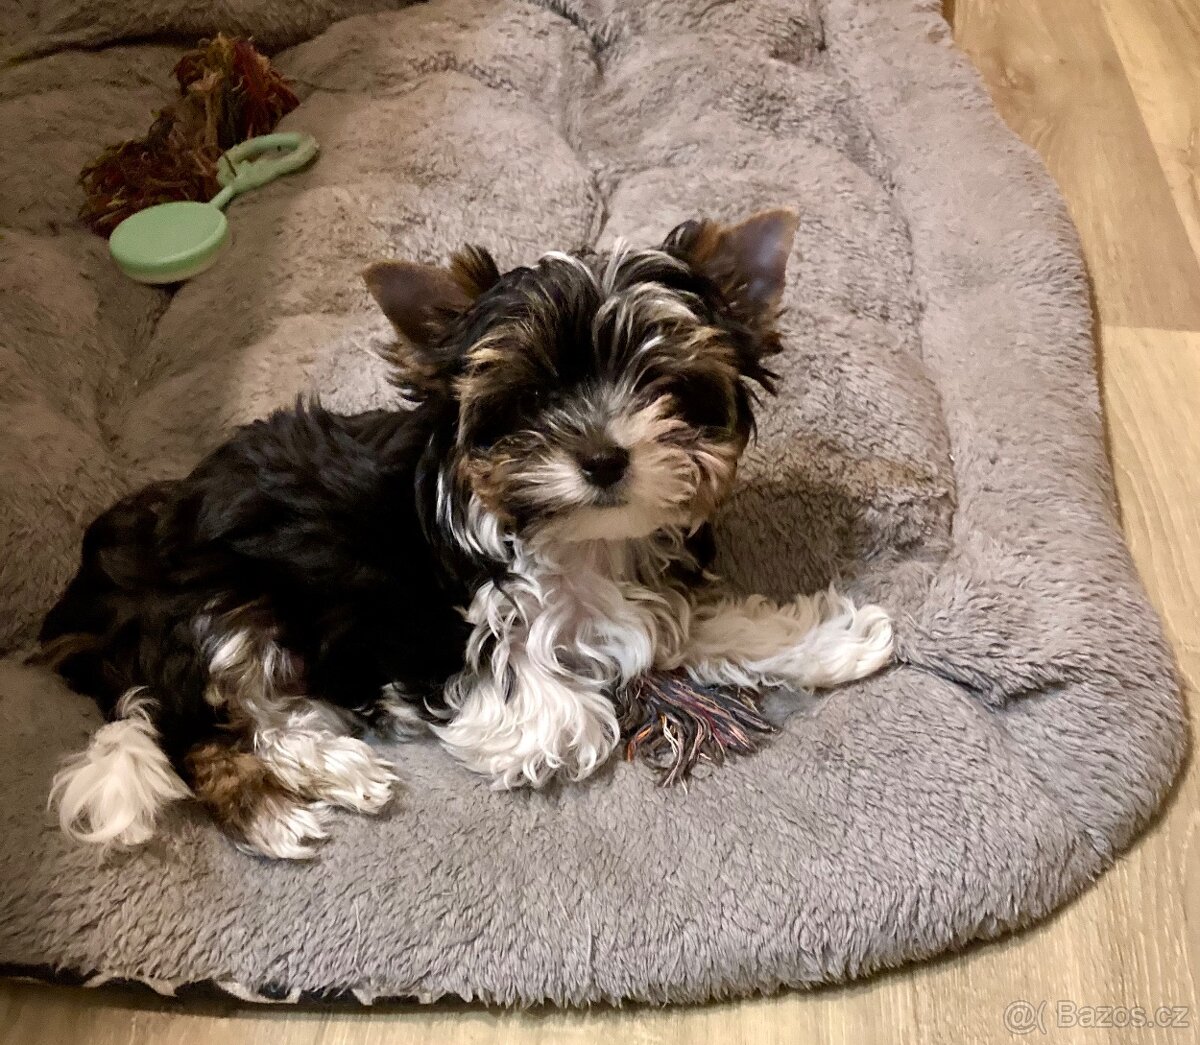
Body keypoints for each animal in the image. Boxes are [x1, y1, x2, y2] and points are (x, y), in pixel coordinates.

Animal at [39, 209, 894, 859]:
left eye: (664, 383)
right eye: (536, 395)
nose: (604, 458)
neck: (579, 538)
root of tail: (91, 598)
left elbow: (678, 629)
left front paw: (825, 639)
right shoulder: (443, 639)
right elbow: (572, 707)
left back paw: (340, 767)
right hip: (215, 605)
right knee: (205, 729)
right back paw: (282, 808)